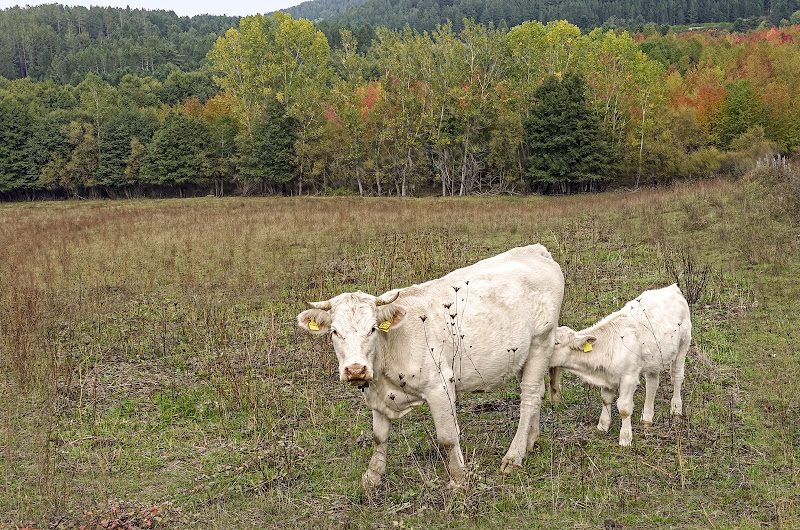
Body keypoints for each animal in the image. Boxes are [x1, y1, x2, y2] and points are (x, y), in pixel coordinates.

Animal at [296, 243, 564, 486]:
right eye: (334, 331)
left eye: (372, 329)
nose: (355, 370)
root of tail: (535, 250)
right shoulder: (377, 393)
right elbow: (379, 437)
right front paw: (372, 477)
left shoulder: (440, 386)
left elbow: (447, 437)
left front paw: (459, 480)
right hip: (521, 354)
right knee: (537, 393)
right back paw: (530, 441)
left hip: (542, 341)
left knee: (529, 397)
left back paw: (514, 456)